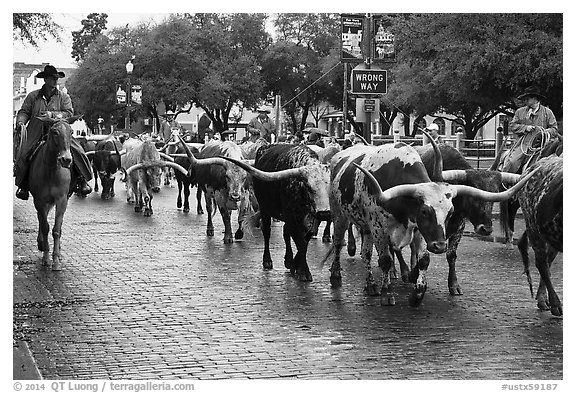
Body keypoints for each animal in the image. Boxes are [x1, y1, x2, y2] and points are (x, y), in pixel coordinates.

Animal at [27, 115, 81, 270]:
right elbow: (45, 227)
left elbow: (57, 230)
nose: (66, 159)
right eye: (55, 132)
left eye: (71, 132)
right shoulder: (39, 200)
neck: (51, 170)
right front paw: (46, 257)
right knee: (41, 219)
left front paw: (56, 260)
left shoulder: (61, 200)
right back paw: (41, 243)